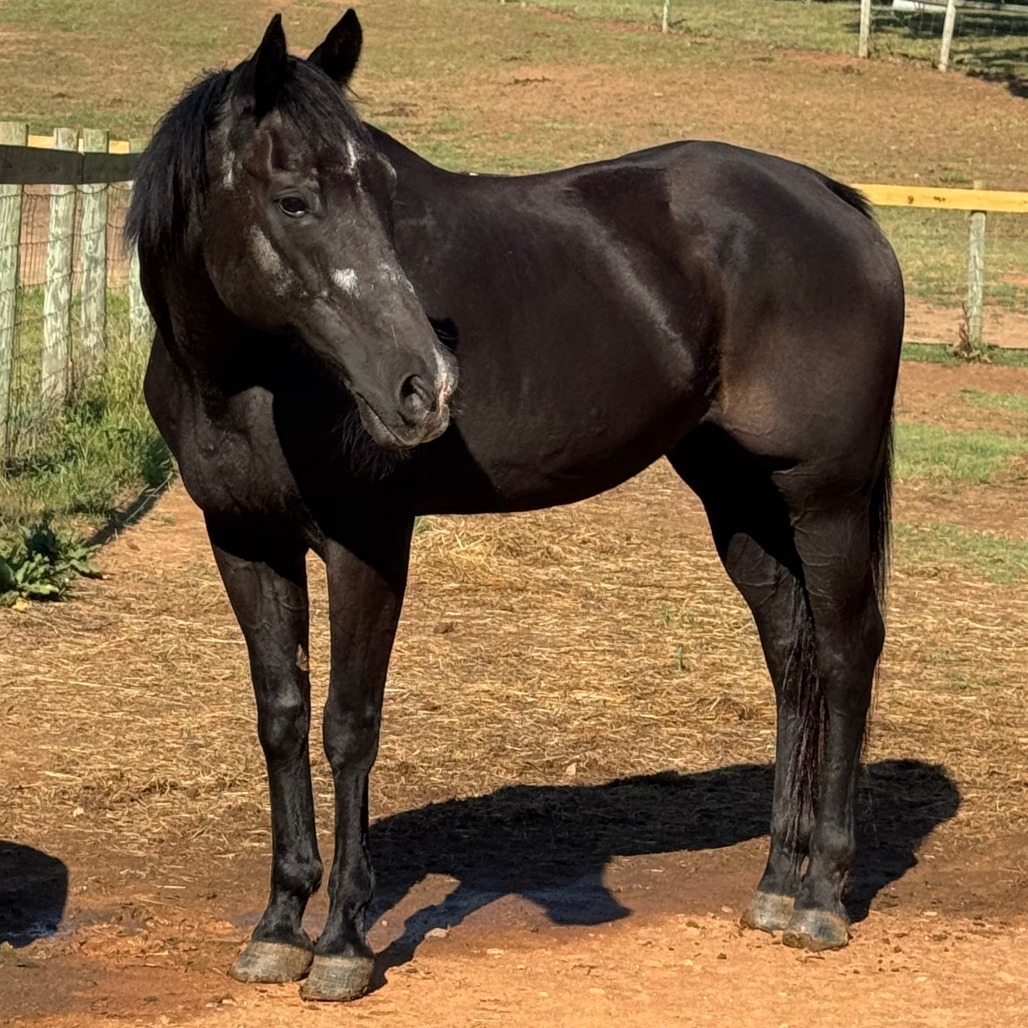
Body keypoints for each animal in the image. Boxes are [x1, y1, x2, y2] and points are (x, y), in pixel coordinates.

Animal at [126, 8, 904, 1002]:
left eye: (383, 190)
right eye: (295, 200)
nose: (426, 386)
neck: (252, 379)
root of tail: (833, 203)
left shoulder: (366, 543)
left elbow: (349, 726)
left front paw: (342, 943)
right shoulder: (244, 542)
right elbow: (282, 717)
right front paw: (276, 924)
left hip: (824, 494)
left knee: (846, 652)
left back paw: (824, 898)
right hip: (738, 496)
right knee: (792, 656)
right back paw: (777, 884)